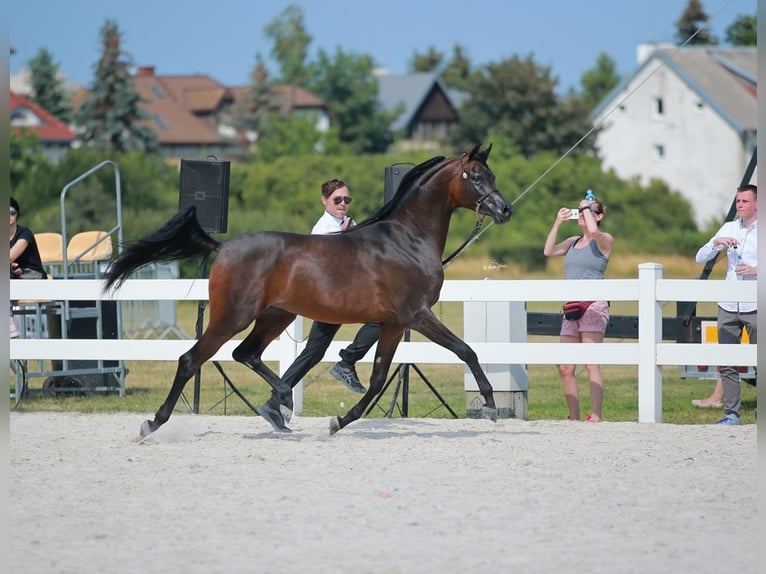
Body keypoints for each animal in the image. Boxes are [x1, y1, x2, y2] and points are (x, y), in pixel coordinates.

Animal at [102, 144, 510, 436]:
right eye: (475, 176)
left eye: (491, 174)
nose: (504, 209)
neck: (406, 240)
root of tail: (223, 247)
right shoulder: (417, 315)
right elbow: (467, 350)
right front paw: (490, 406)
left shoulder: (394, 323)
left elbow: (378, 379)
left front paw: (338, 422)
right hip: (233, 315)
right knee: (192, 359)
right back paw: (153, 423)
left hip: (275, 316)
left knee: (245, 353)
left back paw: (280, 404)